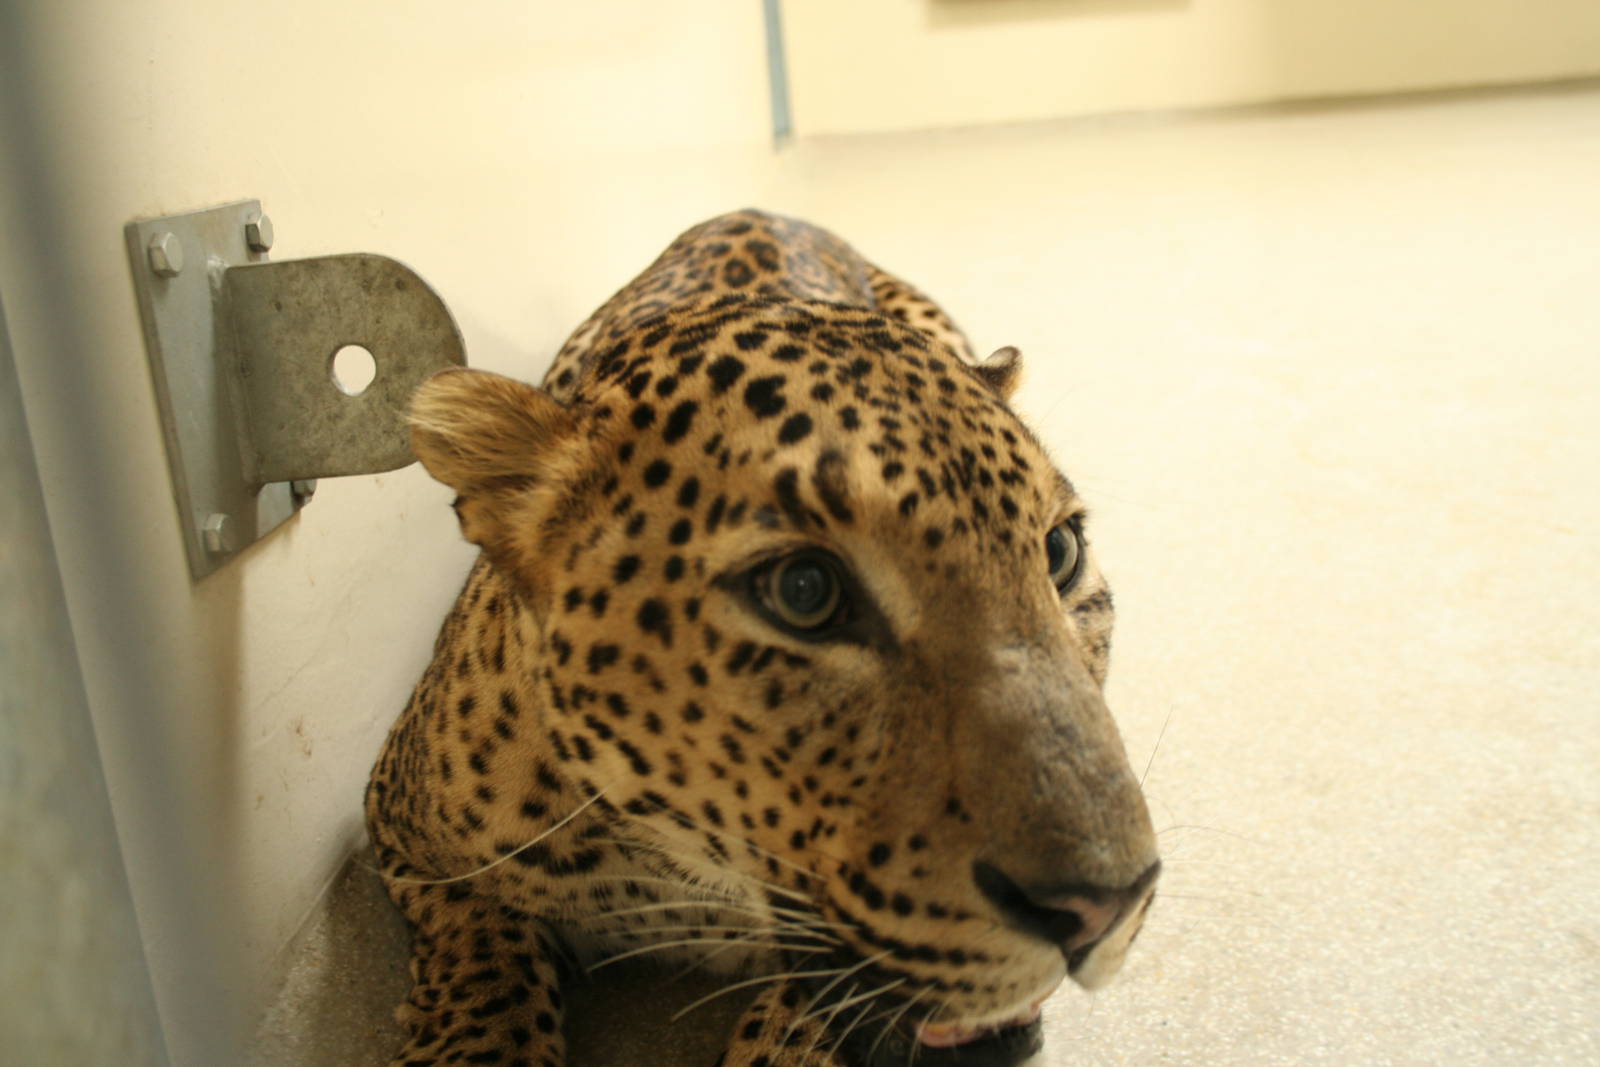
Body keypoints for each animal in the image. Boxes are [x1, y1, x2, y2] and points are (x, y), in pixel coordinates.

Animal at [365, 209, 1160, 1067]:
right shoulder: (407, 836)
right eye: (805, 592)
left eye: (1060, 552)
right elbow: (481, 958)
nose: (1110, 904)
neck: (683, 877)